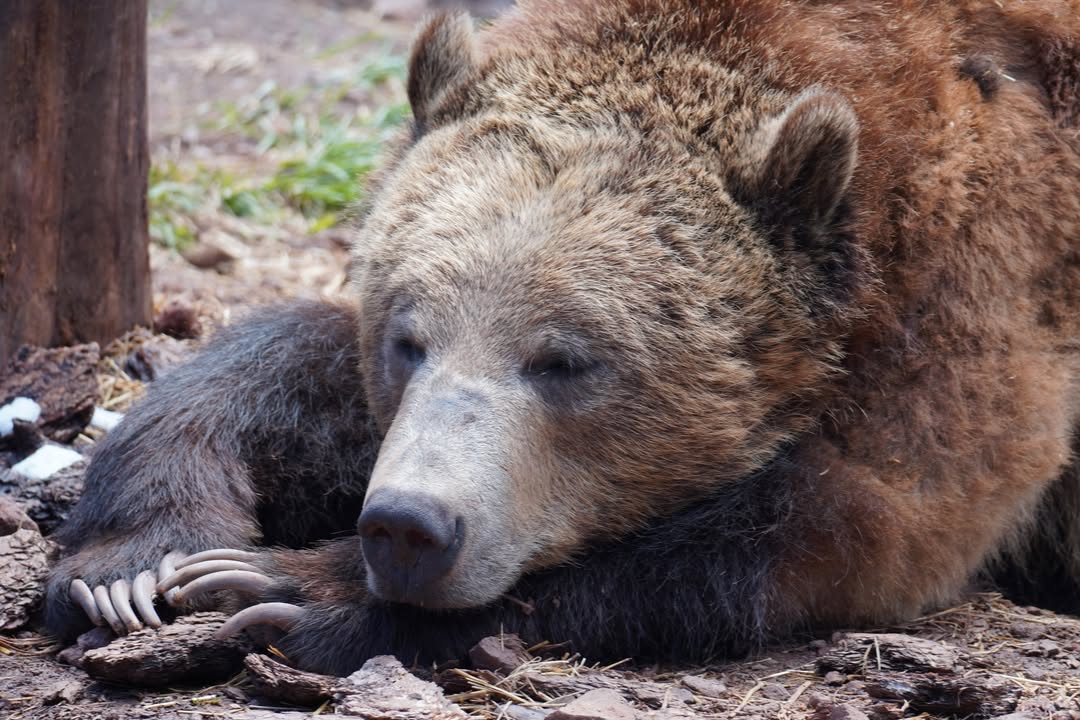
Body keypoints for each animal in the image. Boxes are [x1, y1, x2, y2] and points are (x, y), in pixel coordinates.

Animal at [46, 0, 1080, 676]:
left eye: (567, 359)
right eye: (407, 339)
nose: (407, 525)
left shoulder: (975, 282)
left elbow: (850, 512)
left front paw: (284, 586)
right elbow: (290, 359)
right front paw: (140, 561)